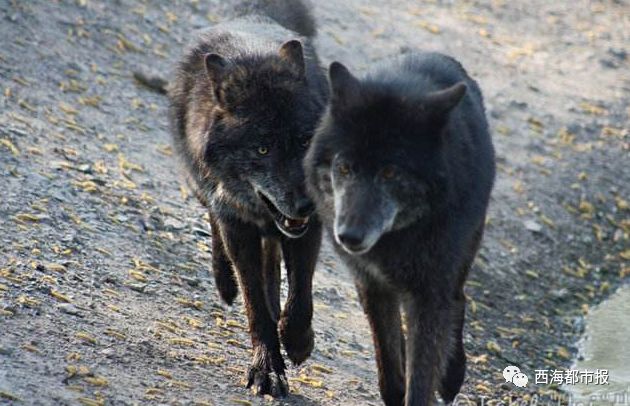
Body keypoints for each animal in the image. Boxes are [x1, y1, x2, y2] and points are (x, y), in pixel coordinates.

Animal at [168, 0, 326, 398]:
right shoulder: (237, 223)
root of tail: (251, 13)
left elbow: (300, 295)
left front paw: (296, 340)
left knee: (273, 262)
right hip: (206, 189)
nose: (305, 205)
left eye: (305, 141)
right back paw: (224, 282)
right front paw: (267, 368)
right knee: (215, 223)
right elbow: (254, 304)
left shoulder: (310, 227)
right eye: (262, 148)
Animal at [304, 52, 496, 404]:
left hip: (460, 259)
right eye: (344, 167)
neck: (396, 238)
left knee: (458, 301)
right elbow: (390, 363)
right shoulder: (372, 284)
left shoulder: (428, 294)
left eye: (390, 173)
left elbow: (421, 374)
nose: (349, 236)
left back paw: (451, 375)